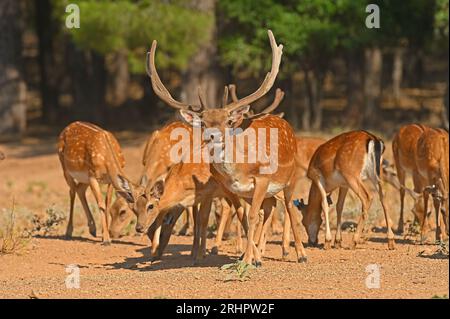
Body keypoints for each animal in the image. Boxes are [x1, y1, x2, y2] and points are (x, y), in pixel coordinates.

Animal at [146, 30, 308, 266]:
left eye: (227, 121)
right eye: (203, 122)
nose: (212, 135)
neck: (239, 169)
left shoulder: (262, 180)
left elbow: (252, 216)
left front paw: (249, 260)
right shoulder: (229, 189)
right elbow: (242, 216)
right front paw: (250, 257)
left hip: (290, 179)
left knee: (290, 207)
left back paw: (301, 254)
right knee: (269, 208)